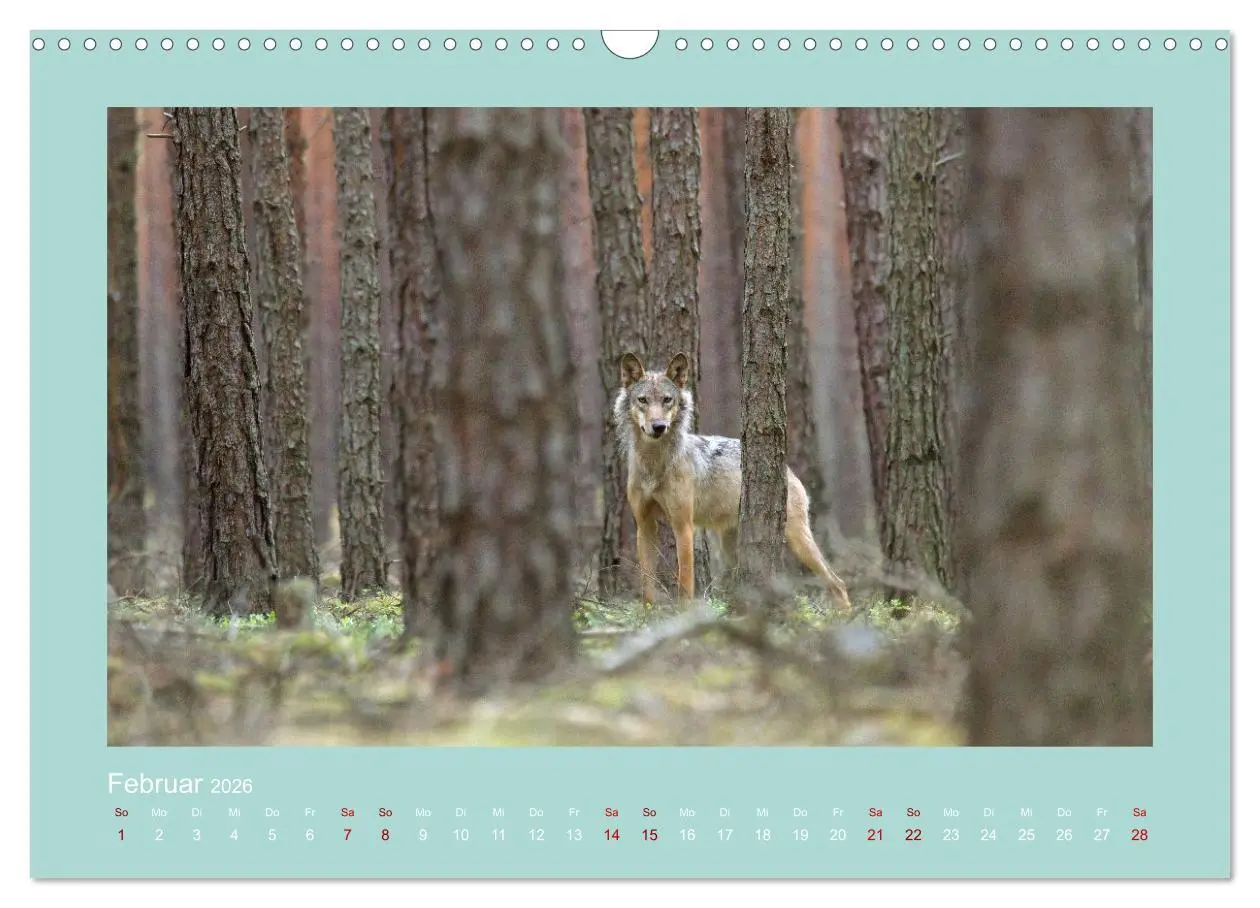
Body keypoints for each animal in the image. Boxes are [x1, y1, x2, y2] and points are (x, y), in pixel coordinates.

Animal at [614, 351, 852, 613]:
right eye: (643, 400)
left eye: (667, 400)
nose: (658, 427)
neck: (654, 465)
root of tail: (788, 470)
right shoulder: (645, 525)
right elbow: (647, 585)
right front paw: (648, 617)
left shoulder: (683, 526)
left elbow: (685, 585)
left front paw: (684, 617)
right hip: (732, 547)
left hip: (797, 539)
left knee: (837, 582)